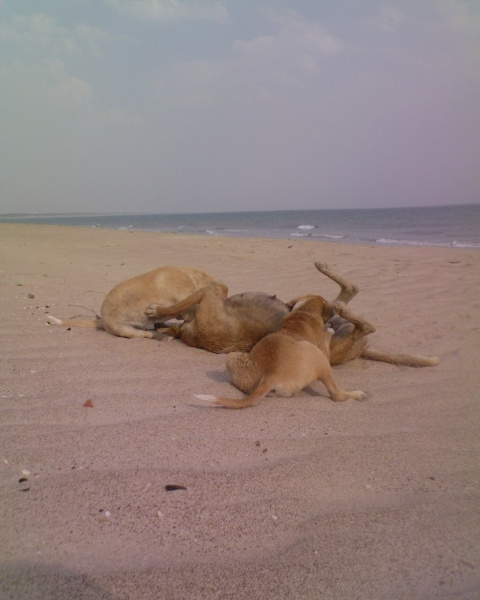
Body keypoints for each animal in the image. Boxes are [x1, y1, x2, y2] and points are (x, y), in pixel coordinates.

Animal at [197, 295, 366, 409]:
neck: (304, 310)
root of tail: (271, 375)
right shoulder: (323, 350)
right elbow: (327, 338)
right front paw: (329, 329)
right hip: (317, 356)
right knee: (337, 395)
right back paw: (358, 394)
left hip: (231, 358)